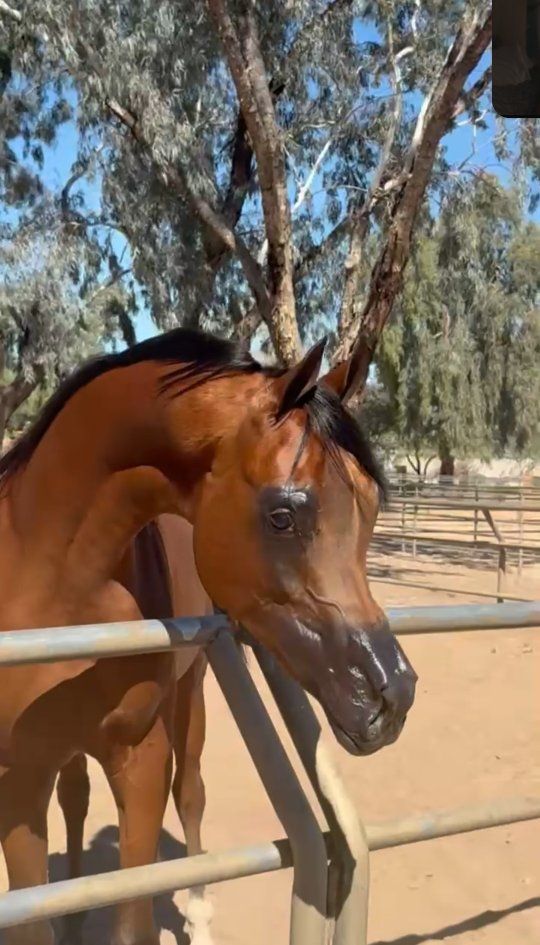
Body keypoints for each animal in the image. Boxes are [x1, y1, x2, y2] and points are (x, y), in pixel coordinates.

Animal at [0, 327, 418, 945]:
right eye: (282, 516)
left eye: (369, 511)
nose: (394, 695)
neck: (47, 582)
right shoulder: (20, 775)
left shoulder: (141, 756)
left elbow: (135, 917)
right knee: (77, 798)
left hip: (190, 690)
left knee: (190, 792)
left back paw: (197, 916)